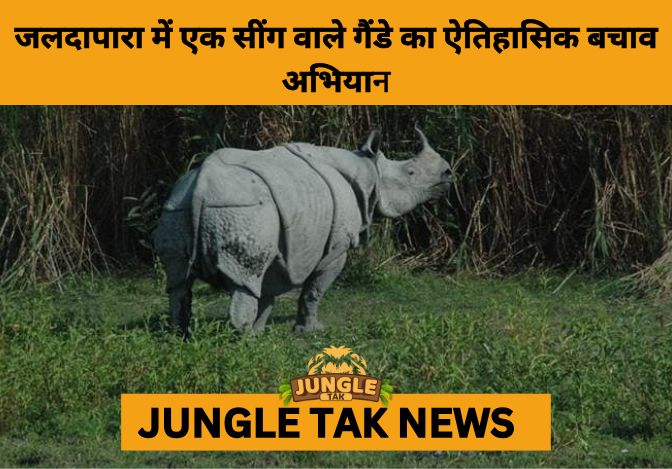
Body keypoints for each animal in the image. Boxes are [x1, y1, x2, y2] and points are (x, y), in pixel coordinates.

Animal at [154, 128, 451, 335]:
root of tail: (201, 186)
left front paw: (262, 329)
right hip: (243, 211)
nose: (448, 173)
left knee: (179, 280)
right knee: (245, 279)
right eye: (410, 172)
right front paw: (310, 331)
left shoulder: (283, 244)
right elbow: (314, 289)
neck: (369, 171)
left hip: (177, 208)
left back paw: (179, 335)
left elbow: (268, 290)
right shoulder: (337, 247)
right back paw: (242, 339)